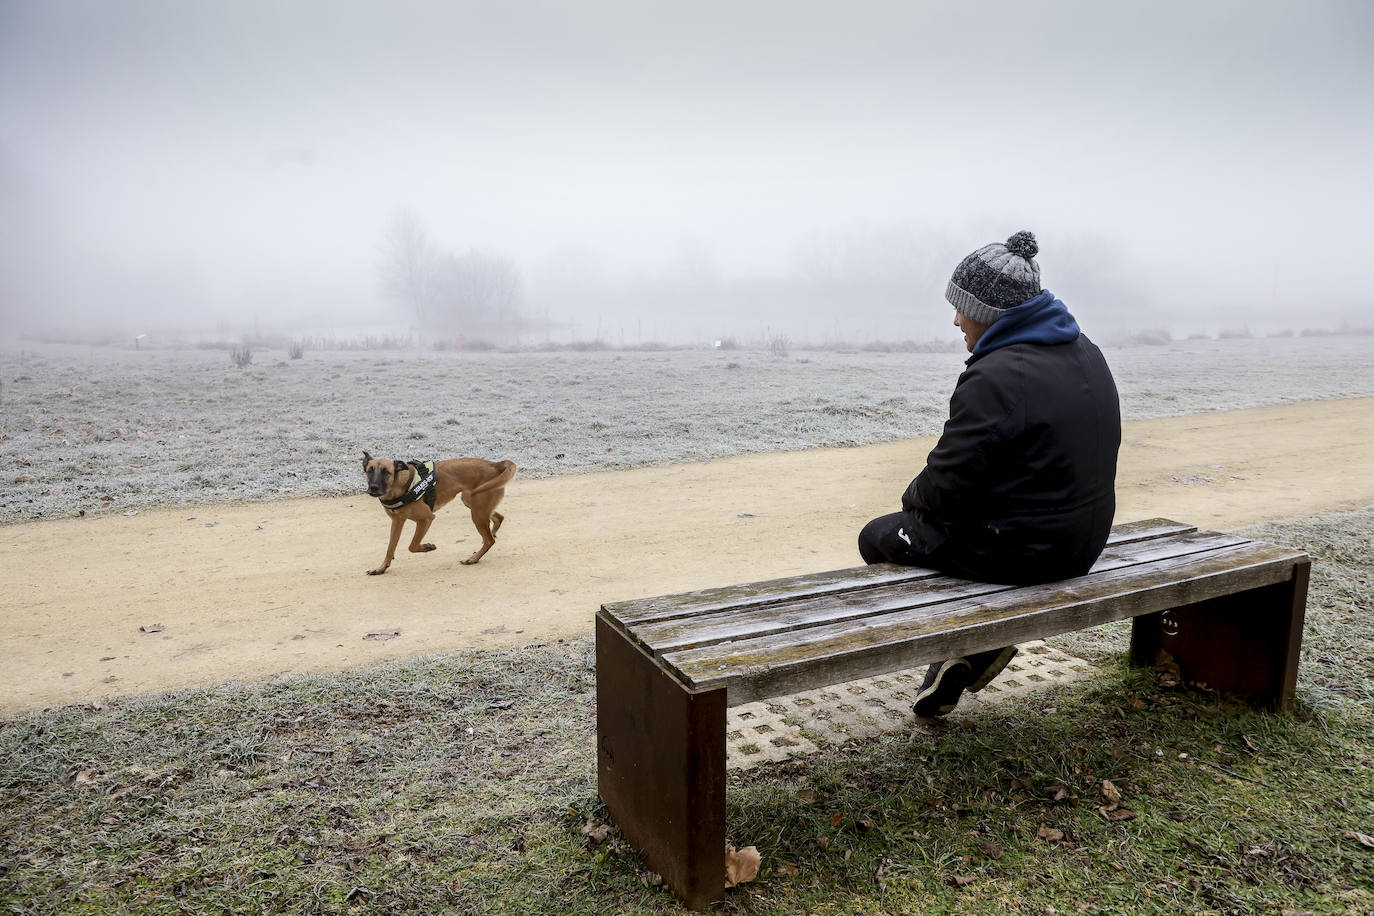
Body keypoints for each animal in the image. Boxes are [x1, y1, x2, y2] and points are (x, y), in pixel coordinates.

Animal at [362, 455, 516, 576]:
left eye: (386, 472)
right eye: (369, 471)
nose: (373, 488)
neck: (400, 485)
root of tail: (495, 465)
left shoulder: (426, 519)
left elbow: (412, 546)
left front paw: (427, 546)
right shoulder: (397, 522)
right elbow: (390, 548)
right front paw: (381, 568)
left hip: (477, 512)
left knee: (490, 540)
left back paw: (473, 558)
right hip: (473, 504)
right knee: (498, 519)